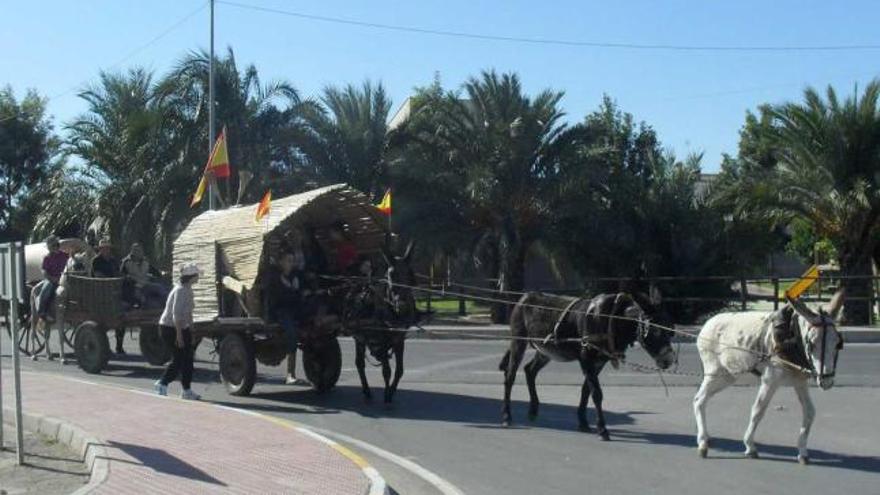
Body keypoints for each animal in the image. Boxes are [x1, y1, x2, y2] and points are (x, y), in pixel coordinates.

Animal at [348, 242, 420, 404]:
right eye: (391, 275)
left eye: (411, 274)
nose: (403, 306)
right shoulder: (382, 340)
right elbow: (386, 371)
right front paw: (387, 395)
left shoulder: (399, 340)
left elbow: (400, 370)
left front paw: (391, 392)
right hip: (359, 337)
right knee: (359, 363)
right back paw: (367, 391)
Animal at [502, 290, 672, 442]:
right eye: (655, 331)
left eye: (670, 329)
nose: (669, 360)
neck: (613, 319)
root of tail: (525, 297)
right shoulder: (586, 359)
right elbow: (596, 393)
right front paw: (602, 430)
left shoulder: (599, 362)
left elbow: (586, 390)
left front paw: (583, 423)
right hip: (519, 340)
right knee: (510, 376)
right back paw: (506, 416)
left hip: (546, 351)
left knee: (530, 370)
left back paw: (533, 410)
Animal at [696, 290, 844, 464]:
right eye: (812, 344)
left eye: (837, 344)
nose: (826, 380)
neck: (792, 338)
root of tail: (708, 324)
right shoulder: (770, 380)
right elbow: (758, 410)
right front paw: (750, 446)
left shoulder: (800, 381)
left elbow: (809, 412)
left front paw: (802, 452)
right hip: (714, 373)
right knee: (699, 400)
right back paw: (703, 444)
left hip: (728, 377)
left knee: (702, 400)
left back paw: (706, 439)